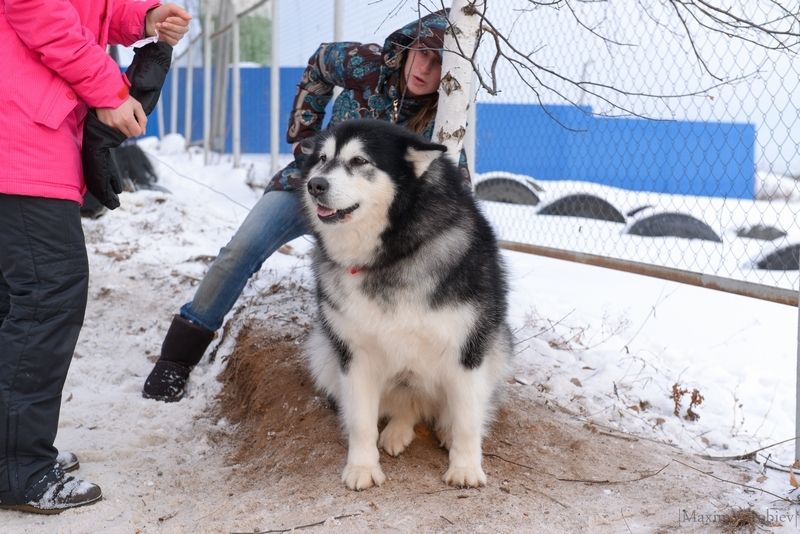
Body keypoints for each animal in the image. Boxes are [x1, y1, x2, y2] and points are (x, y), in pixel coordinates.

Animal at [300, 119, 512, 492]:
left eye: (359, 161)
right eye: (322, 159)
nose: (315, 185)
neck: (390, 257)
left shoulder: (468, 348)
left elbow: (468, 420)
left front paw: (466, 468)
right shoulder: (355, 354)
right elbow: (361, 421)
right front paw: (362, 467)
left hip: (498, 348)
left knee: (456, 411)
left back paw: (444, 432)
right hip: (323, 353)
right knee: (404, 408)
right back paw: (397, 430)